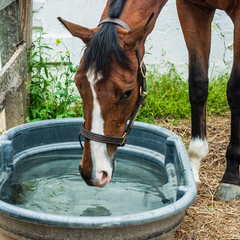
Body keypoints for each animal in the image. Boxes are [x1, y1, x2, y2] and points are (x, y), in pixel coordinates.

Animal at [58, 0, 240, 197]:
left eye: (127, 93)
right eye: (79, 85)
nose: (92, 172)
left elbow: (234, 90)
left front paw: (231, 176)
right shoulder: (192, 9)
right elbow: (198, 85)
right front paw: (193, 168)